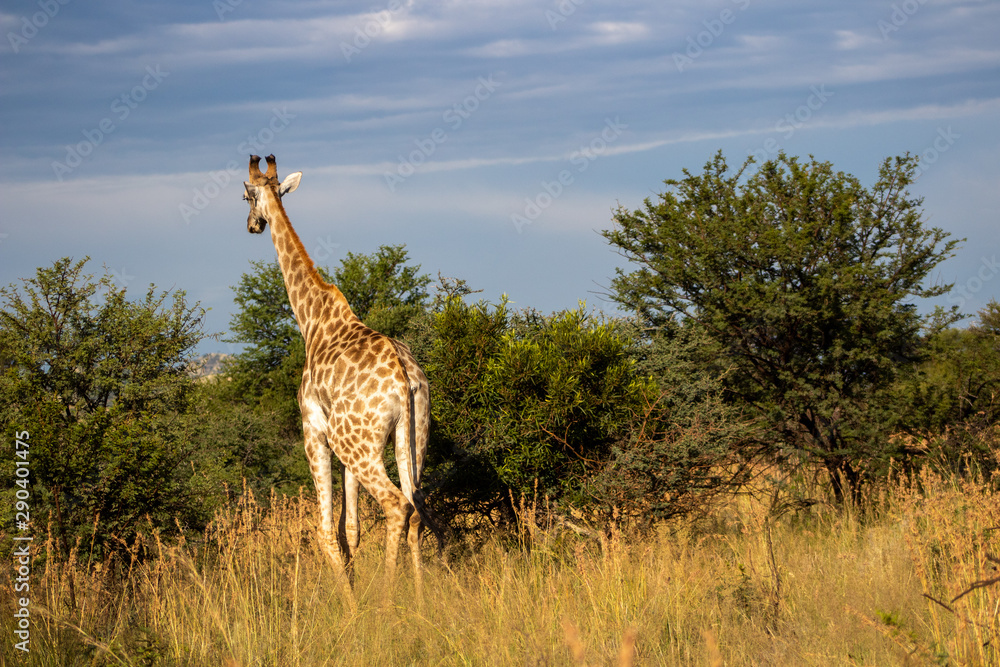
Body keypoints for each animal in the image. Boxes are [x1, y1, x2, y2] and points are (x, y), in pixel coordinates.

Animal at [241, 154, 435, 605]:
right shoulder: (340, 437)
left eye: (245, 196)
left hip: (358, 444)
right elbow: (352, 529)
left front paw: (351, 607)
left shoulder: (314, 428)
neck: (311, 321)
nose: (252, 225)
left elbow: (327, 530)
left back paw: (386, 604)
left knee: (396, 505)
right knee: (416, 507)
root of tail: (405, 379)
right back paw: (420, 601)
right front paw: (354, 592)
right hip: (410, 436)